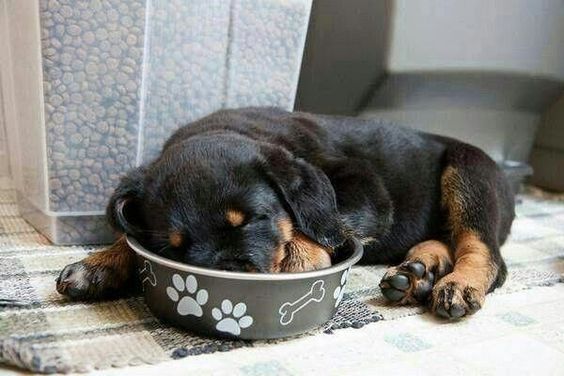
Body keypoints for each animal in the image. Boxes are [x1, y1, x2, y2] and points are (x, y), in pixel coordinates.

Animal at [57, 107, 516, 318]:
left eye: (253, 218)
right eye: (173, 248)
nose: (230, 278)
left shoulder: (363, 185)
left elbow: (325, 219)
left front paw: (302, 257)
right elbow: (128, 236)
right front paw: (98, 265)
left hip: (469, 175)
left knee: (485, 251)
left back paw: (457, 284)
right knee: (447, 239)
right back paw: (417, 271)